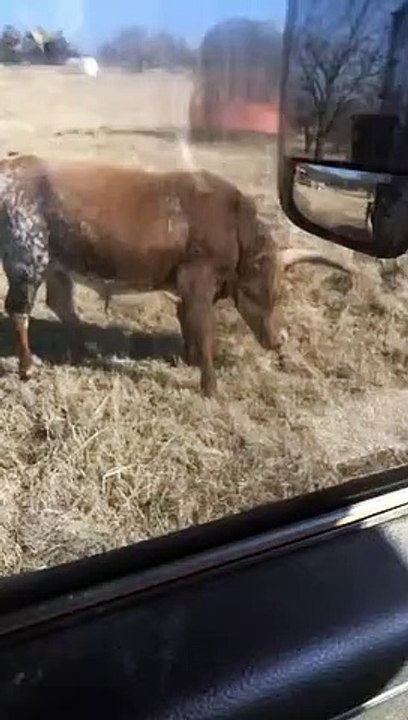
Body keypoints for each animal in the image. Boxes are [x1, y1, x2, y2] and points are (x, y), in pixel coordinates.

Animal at [0, 154, 350, 396]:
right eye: (265, 292)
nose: (281, 340)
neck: (234, 227)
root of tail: (13, 164)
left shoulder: (187, 287)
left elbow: (187, 322)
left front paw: (189, 359)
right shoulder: (198, 282)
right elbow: (203, 330)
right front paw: (210, 387)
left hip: (57, 264)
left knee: (60, 304)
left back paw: (88, 349)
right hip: (27, 261)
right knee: (19, 311)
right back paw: (27, 368)